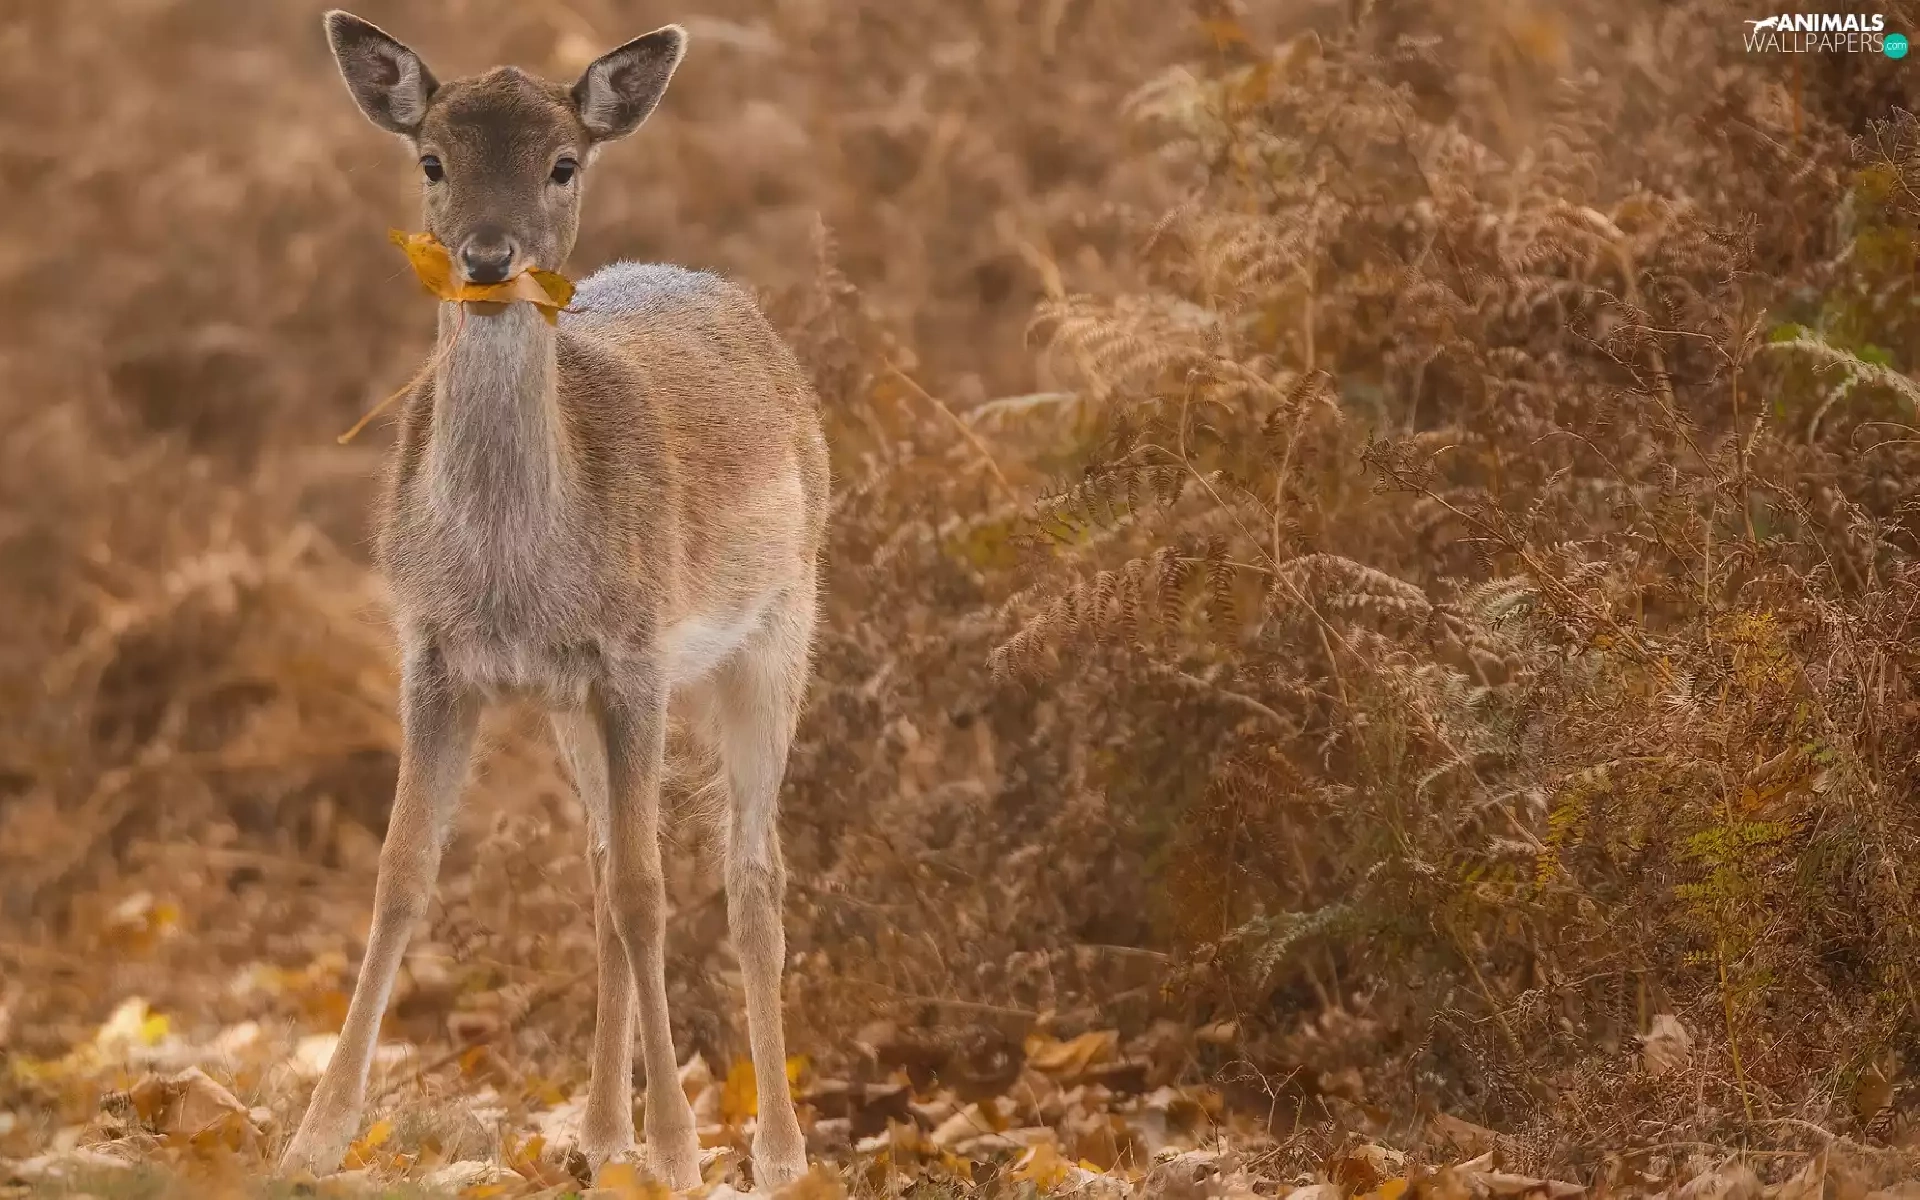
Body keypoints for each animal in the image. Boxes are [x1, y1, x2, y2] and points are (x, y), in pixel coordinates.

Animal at [281, 12, 828, 1191]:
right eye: (432, 158)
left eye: (563, 162)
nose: (491, 256)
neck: (512, 578)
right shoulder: (434, 656)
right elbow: (403, 873)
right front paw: (315, 1135)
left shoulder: (635, 659)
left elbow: (650, 893)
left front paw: (680, 1150)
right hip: (574, 709)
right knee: (597, 868)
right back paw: (601, 1132)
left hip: (781, 626)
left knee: (750, 875)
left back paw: (775, 1149)